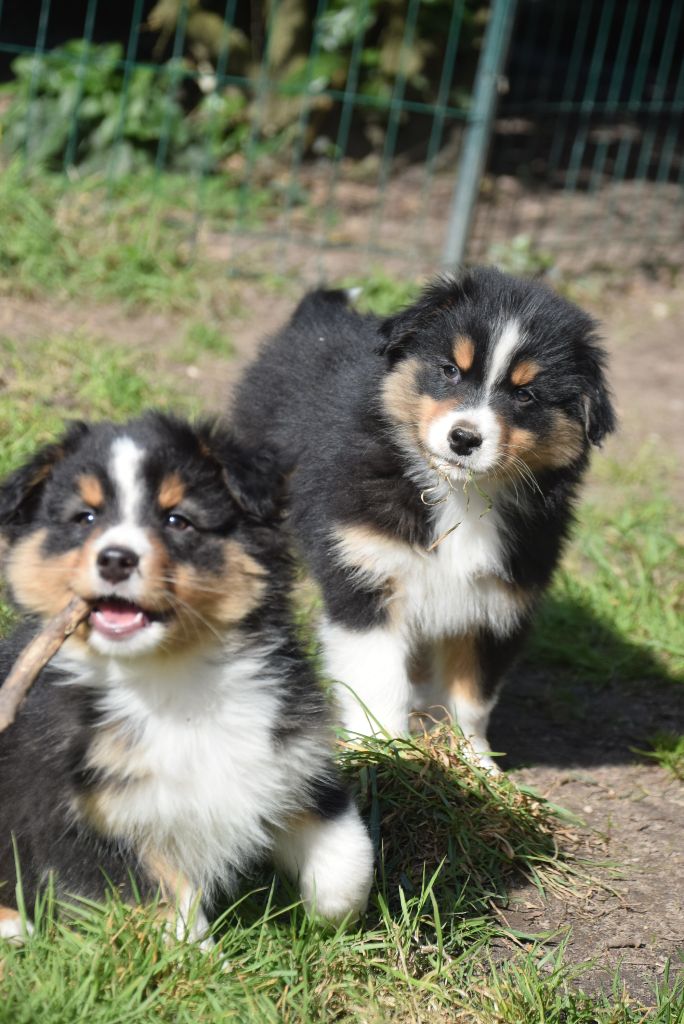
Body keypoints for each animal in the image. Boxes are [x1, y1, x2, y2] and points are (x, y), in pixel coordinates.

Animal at [0, 413, 374, 942]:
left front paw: (329, 921)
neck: (170, 679)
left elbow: (350, 855)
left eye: (177, 520)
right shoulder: (77, 819)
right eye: (85, 518)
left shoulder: (290, 757)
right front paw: (204, 959)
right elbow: (168, 905)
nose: (115, 558)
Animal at [232, 270, 618, 770]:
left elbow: (473, 696)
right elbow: (379, 678)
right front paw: (385, 751)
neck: (460, 496)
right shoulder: (367, 575)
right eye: (451, 370)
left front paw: (478, 764)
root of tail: (315, 317)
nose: (464, 439)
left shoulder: (496, 603)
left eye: (525, 394)